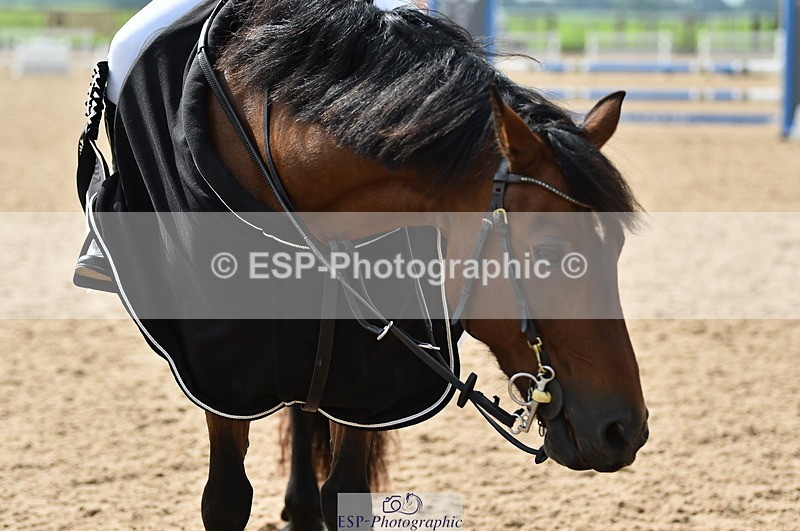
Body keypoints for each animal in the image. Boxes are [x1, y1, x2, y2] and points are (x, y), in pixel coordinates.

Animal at [84, 0, 648, 529]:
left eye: (618, 247)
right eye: (550, 251)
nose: (625, 430)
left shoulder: (368, 376)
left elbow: (345, 493)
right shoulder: (219, 371)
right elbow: (225, 500)